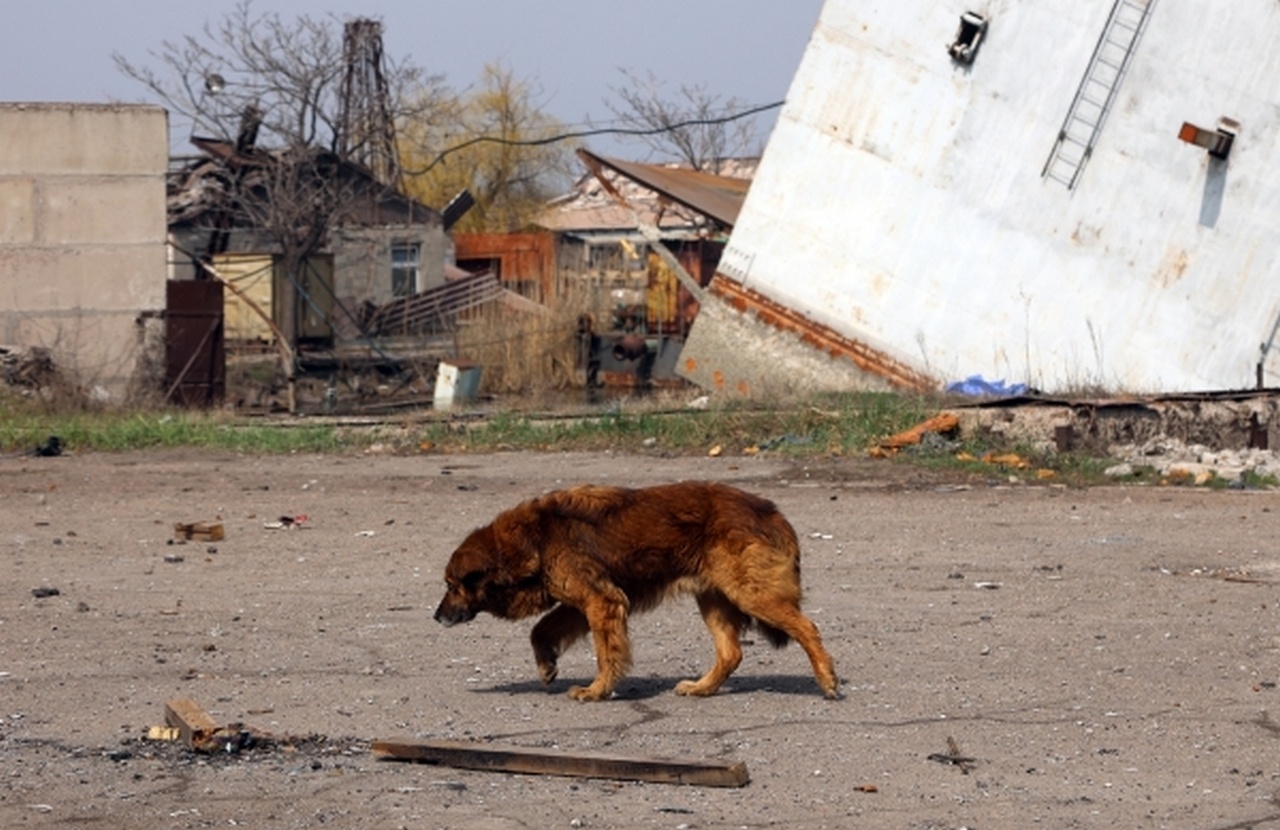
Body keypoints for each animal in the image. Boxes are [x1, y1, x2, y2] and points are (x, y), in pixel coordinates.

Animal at [435, 479, 839, 701]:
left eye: (452, 586)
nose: (436, 616)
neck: (535, 538)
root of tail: (770, 510)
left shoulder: (602, 601)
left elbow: (605, 653)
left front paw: (597, 691)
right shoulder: (581, 603)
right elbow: (540, 630)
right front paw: (547, 665)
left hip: (750, 593)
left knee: (808, 628)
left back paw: (827, 679)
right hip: (713, 597)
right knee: (731, 653)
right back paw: (702, 688)